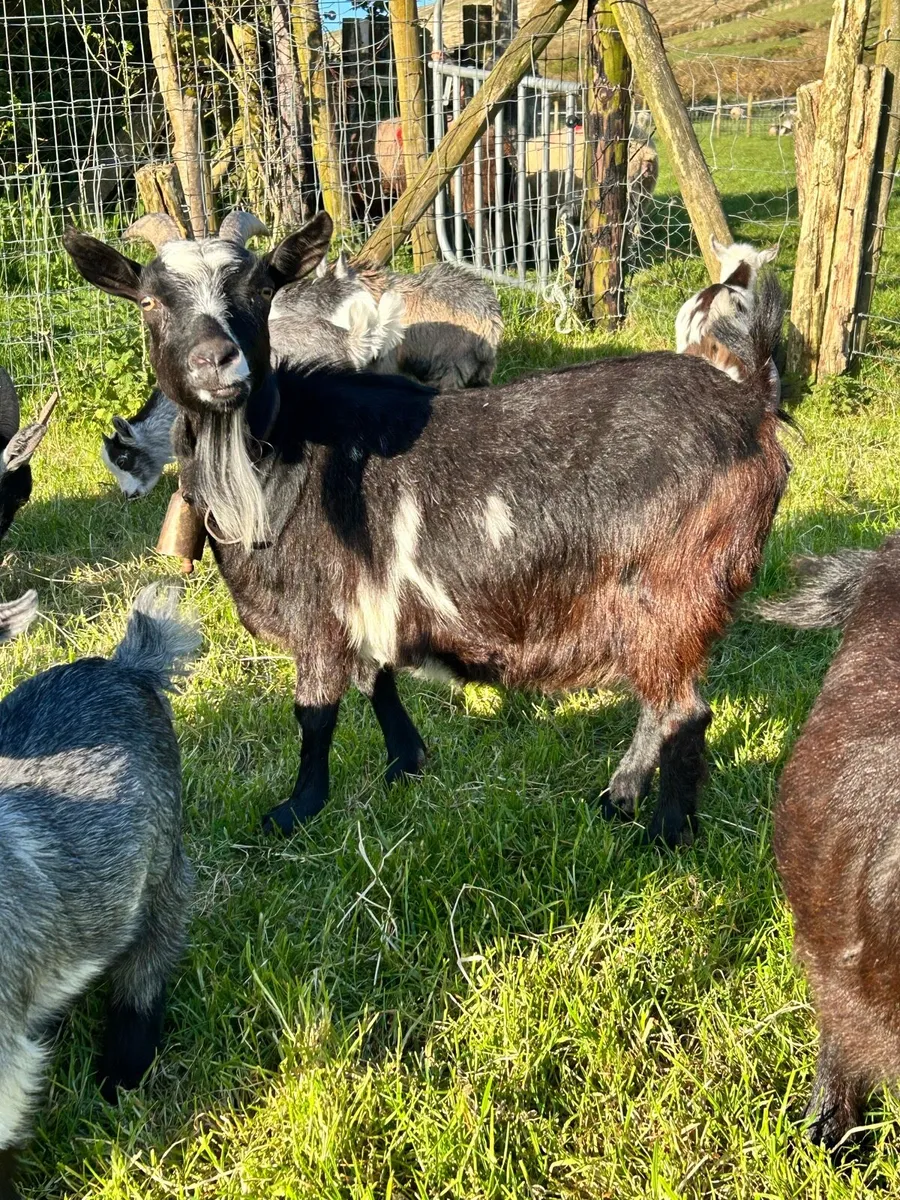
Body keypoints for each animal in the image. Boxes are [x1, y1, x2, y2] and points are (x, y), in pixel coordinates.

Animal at [63, 213, 789, 850]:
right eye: (150, 300)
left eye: (262, 291)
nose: (221, 363)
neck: (277, 462)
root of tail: (751, 410)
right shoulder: (365, 598)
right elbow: (375, 679)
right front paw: (405, 763)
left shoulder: (319, 612)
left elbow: (315, 712)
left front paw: (297, 810)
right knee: (659, 703)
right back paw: (618, 799)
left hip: (673, 589)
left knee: (684, 712)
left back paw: (666, 834)